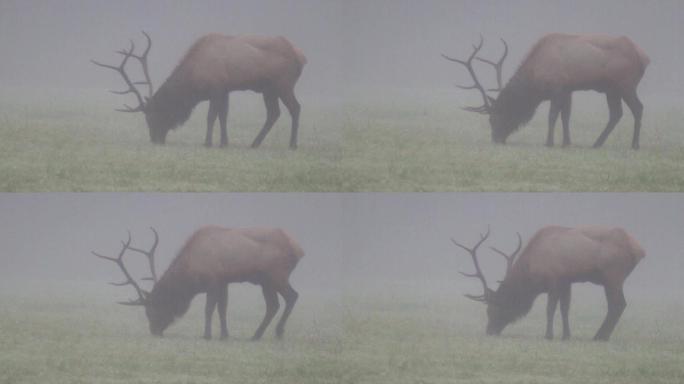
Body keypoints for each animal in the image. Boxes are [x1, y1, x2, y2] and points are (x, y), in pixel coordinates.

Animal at [92, 31, 306, 148]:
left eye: (152, 116)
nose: (155, 139)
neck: (193, 80)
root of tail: (302, 56)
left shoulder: (216, 88)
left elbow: (211, 116)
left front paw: (208, 142)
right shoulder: (225, 90)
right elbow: (223, 116)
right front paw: (224, 142)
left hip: (283, 84)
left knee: (295, 108)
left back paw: (292, 144)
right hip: (268, 89)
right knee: (274, 113)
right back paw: (254, 143)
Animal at [93, 225, 304, 340]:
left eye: (151, 309)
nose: (154, 331)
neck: (191, 273)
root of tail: (299, 249)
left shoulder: (213, 281)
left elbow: (209, 309)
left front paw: (207, 335)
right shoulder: (223, 282)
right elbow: (222, 308)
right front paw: (224, 335)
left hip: (276, 275)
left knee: (292, 296)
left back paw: (277, 332)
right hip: (265, 281)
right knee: (273, 305)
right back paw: (256, 335)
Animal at [444, 33, 652, 149]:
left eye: (494, 117)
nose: (496, 139)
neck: (535, 79)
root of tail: (645, 57)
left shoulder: (557, 88)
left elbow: (552, 116)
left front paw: (549, 142)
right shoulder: (568, 89)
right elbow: (565, 116)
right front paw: (566, 142)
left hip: (625, 85)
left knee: (638, 108)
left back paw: (634, 145)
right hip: (612, 90)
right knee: (616, 114)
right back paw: (597, 143)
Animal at [452, 226, 644, 340]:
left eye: (492, 309)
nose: (489, 331)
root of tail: (640, 249)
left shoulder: (554, 280)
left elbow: (550, 309)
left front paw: (549, 335)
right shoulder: (566, 282)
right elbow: (565, 308)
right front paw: (566, 335)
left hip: (612, 276)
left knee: (617, 304)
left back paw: (600, 336)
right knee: (618, 304)